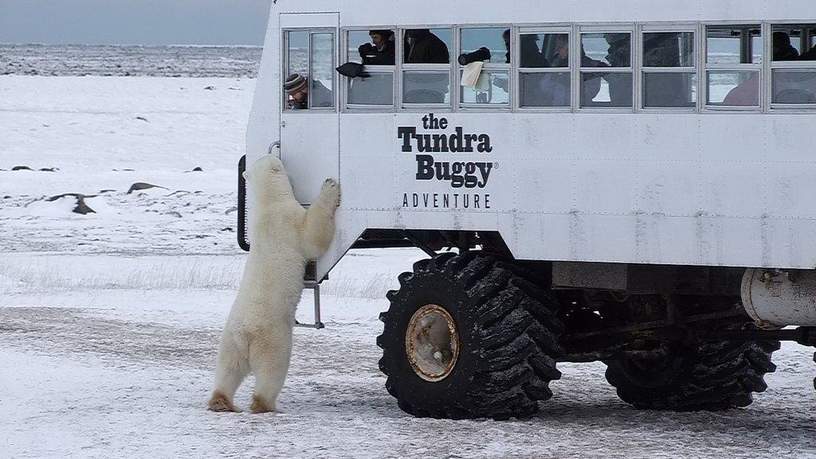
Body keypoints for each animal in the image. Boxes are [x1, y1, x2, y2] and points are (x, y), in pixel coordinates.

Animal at [210, 156, 342, 416]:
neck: (268, 204)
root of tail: (245, 333)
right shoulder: (289, 221)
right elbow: (313, 235)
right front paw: (330, 185)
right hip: (271, 339)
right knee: (272, 371)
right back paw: (264, 404)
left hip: (229, 342)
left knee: (227, 369)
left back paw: (221, 401)